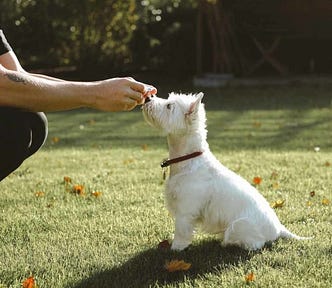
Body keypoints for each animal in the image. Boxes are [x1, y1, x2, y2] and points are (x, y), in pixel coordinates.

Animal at [142, 93, 308, 251]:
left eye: (169, 106)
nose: (147, 98)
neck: (188, 160)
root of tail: (278, 229)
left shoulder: (186, 211)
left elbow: (182, 232)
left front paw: (175, 249)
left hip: (239, 226)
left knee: (255, 243)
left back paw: (227, 243)